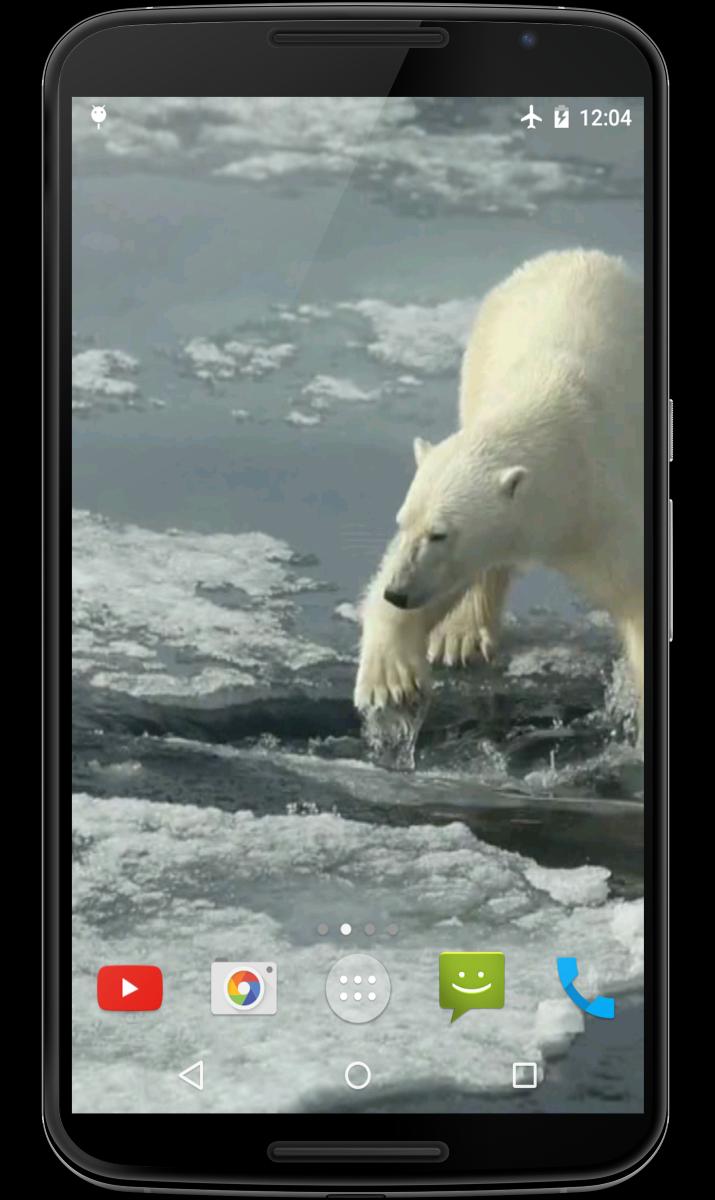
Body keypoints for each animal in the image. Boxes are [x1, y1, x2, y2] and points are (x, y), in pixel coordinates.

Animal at [354, 249, 644, 728]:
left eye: (440, 533)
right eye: (402, 522)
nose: (398, 591)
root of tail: (575, 253)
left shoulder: (605, 511)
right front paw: (391, 680)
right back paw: (459, 636)